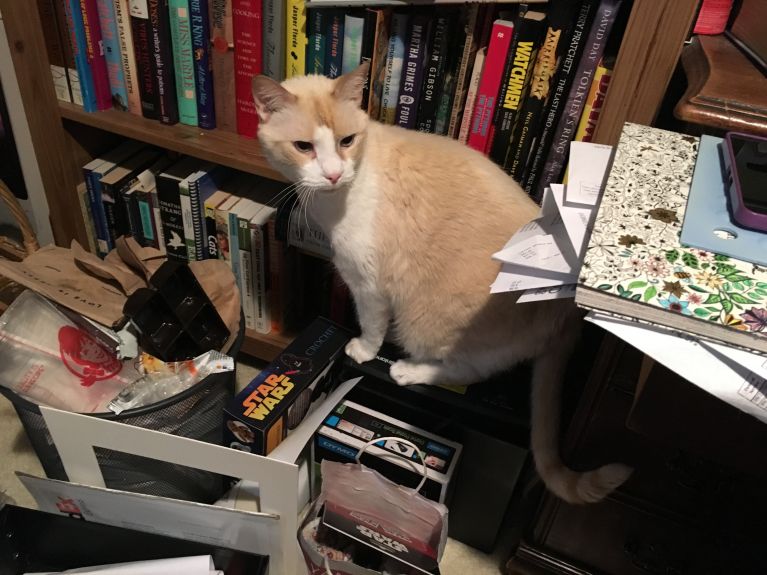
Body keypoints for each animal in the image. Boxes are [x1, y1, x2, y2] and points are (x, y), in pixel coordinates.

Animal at [252, 64, 632, 504]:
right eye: (303, 146)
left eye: (347, 141)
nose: (333, 173)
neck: (341, 193)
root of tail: (568, 308)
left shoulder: (367, 282)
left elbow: (371, 325)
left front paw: (364, 350)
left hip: (427, 324)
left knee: (467, 369)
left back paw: (408, 371)